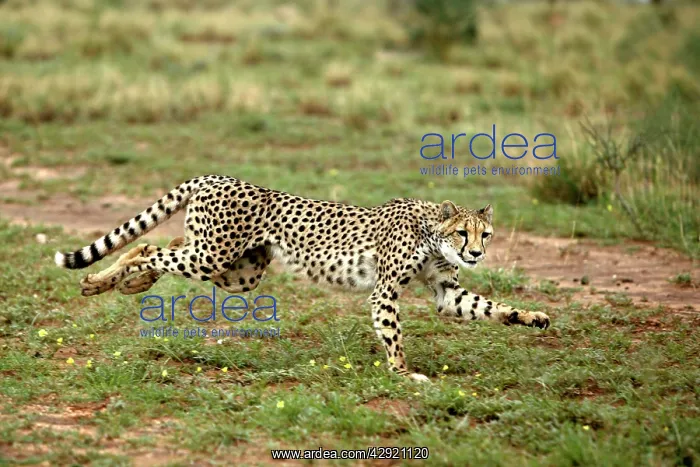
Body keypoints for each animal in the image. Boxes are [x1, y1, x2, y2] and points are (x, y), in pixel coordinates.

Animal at [55, 175, 550, 382]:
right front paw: (404, 373)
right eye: (463, 232)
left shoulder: (446, 291)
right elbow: (394, 335)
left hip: (239, 271)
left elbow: (490, 307)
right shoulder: (384, 292)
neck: (431, 231)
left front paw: (534, 318)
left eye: (485, 233)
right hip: (212, 255)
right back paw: (110, 281)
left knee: (159, 247)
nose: (476, 253)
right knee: (149, 249)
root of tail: (216, 176)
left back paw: (116, 283)